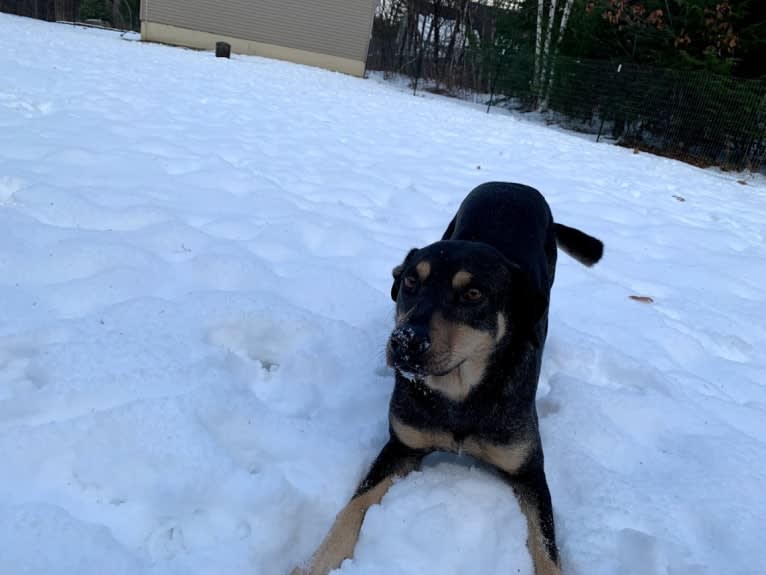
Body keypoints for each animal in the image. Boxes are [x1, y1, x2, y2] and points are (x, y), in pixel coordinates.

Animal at [294, 182, 608, 572]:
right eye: (411, 281)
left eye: (473, 294)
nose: (405, 342)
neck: (459, 393)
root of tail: (513, 185)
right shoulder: (402, 445)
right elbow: (354, 506)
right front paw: (316, 563)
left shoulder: (530, 471)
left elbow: (548, 549)